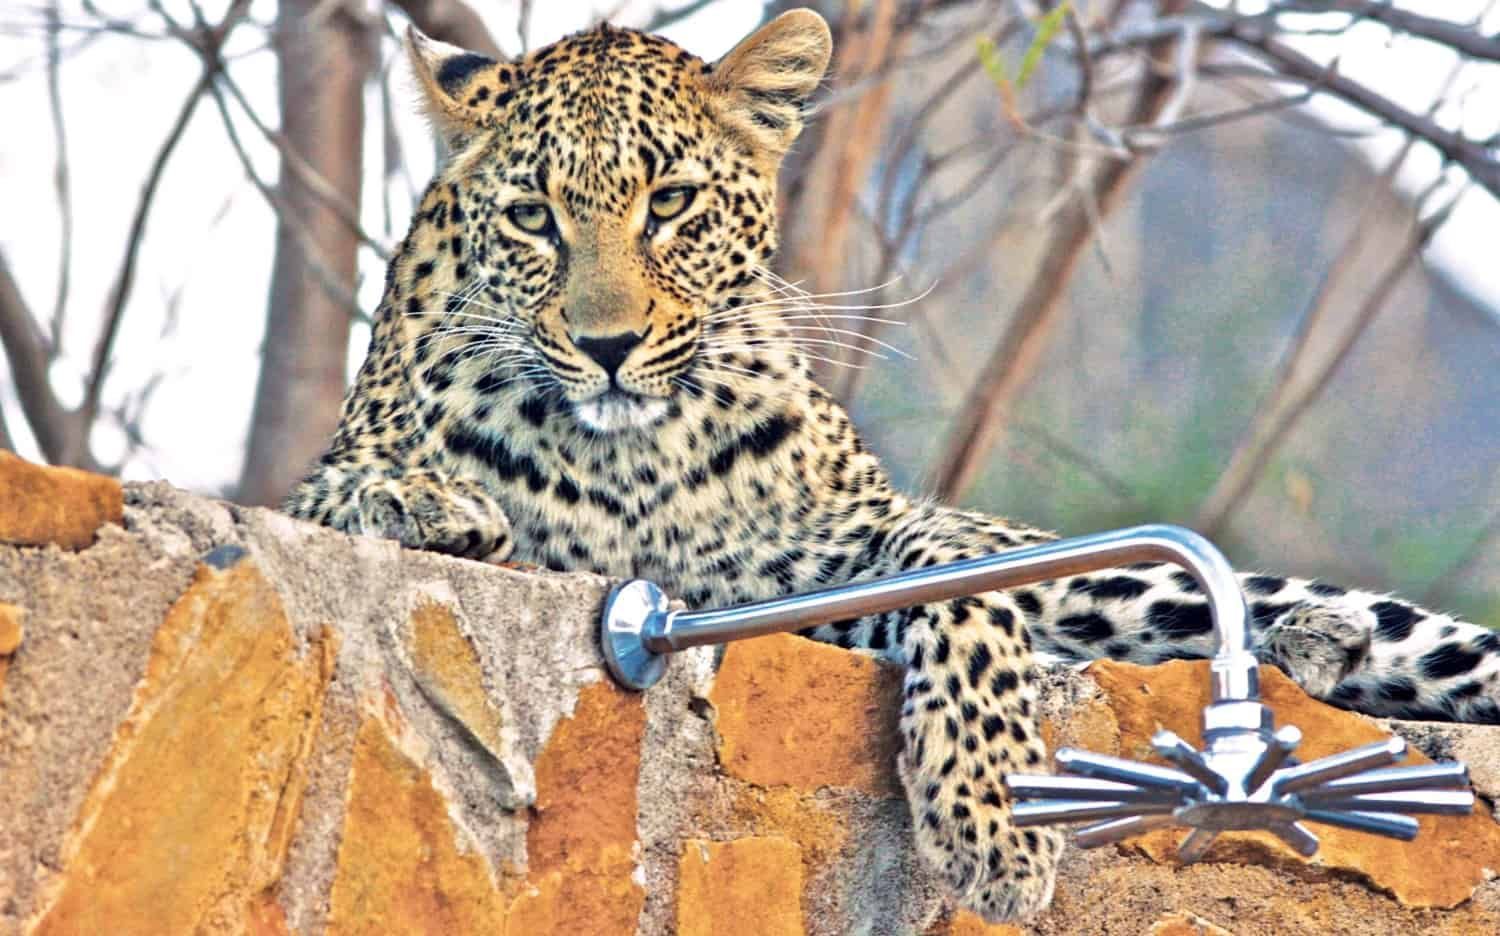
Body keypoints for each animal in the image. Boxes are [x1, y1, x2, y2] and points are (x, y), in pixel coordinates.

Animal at [283, 9, 1500, 923]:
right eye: (534, 217)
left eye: (668, 202)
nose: (609, 344)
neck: (635, 458)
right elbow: (358, 487)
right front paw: (428, 502)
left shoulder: (836, 550)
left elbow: (961, 590)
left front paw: (993, 820)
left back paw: (1320, 636)